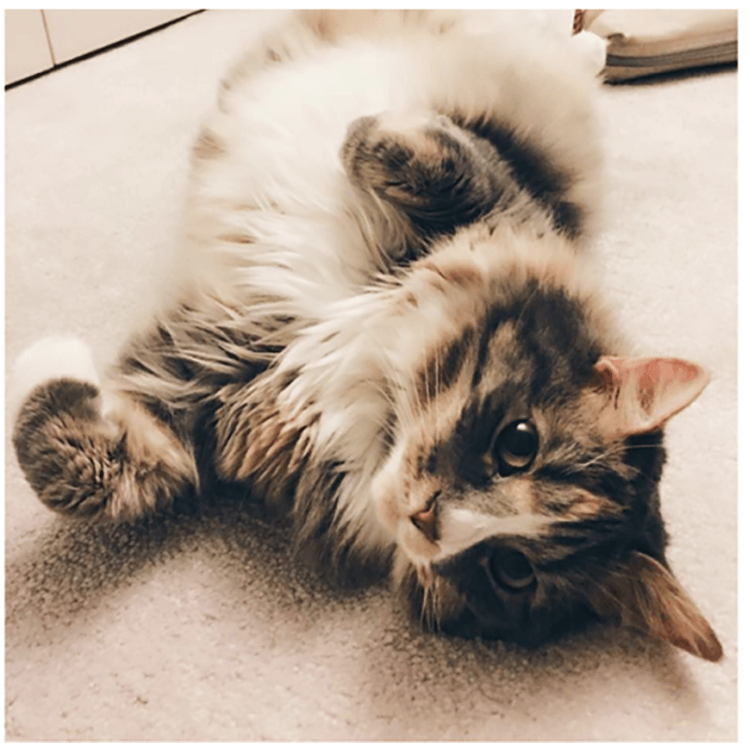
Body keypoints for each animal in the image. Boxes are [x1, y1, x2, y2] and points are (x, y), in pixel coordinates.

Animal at [11, 10, 720, 664]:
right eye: (519, 443)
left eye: (512, 571)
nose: (427, 520)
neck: (364, 373)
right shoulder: (494, 187)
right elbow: (405, 149)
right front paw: (357, 133)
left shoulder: (213, 393)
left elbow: (76, 469)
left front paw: (49, 356)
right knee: (557, 43)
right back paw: (592, 41)